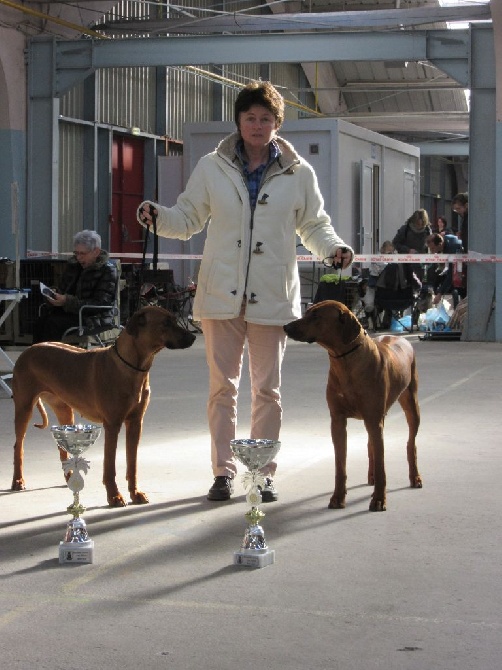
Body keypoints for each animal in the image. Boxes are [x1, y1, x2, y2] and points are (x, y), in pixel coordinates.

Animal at [11, 308, 196, 506]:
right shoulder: (112, 425)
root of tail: (28, 349)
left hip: (64, 409)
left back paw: (69, 477)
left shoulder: (136, 423)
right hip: (24, 407)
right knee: (18, 446)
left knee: (62, 448)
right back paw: (18, 480)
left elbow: (132, 464)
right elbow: (110, 466)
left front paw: (135, 493)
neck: (131, 367)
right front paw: (114, 496)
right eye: (166, 323)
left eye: (175, 320)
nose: (193, 337)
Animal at [284, 302, 422, 512]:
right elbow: (340, 465)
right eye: (307, 312)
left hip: (411, 404)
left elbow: (382, 466)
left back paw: (414, 477)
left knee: (410, 444)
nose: (285, 327)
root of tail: (400, 338)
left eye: (316, 316)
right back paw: (371, 476)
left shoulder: (373, 419)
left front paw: (379, 499)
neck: (344, 361)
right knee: (371, 445)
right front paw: (338, 497)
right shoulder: (338, 421)